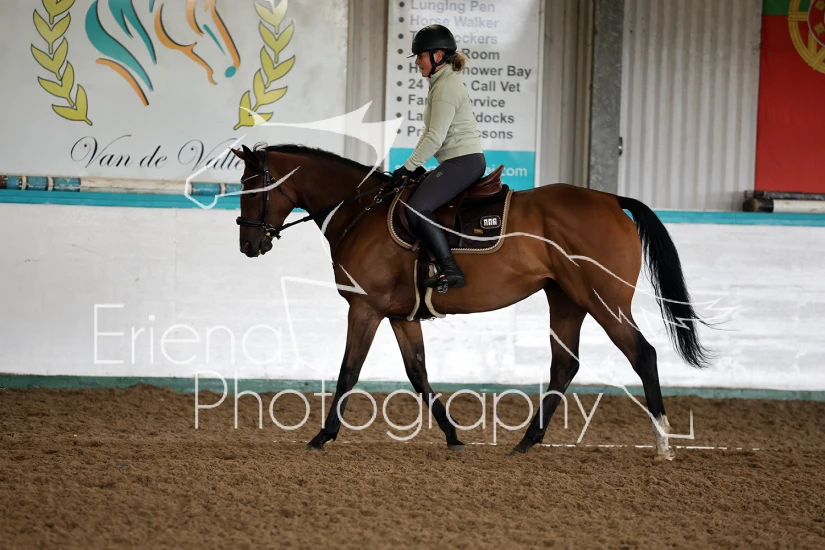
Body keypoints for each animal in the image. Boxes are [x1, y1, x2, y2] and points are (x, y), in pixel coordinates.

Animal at [230, 143, 711, 461]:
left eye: (251, 186)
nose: (248, 245)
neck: (360, 211)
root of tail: (612, 199)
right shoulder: (400, 315)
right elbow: (418, 374)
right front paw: (454, 436)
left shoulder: (365, 308)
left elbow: (350, 370)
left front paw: (322, 435)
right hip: (566, 299)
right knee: (564, 364)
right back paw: (526, 442)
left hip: (602, 300)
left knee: (642, 354)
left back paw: (663, 444)